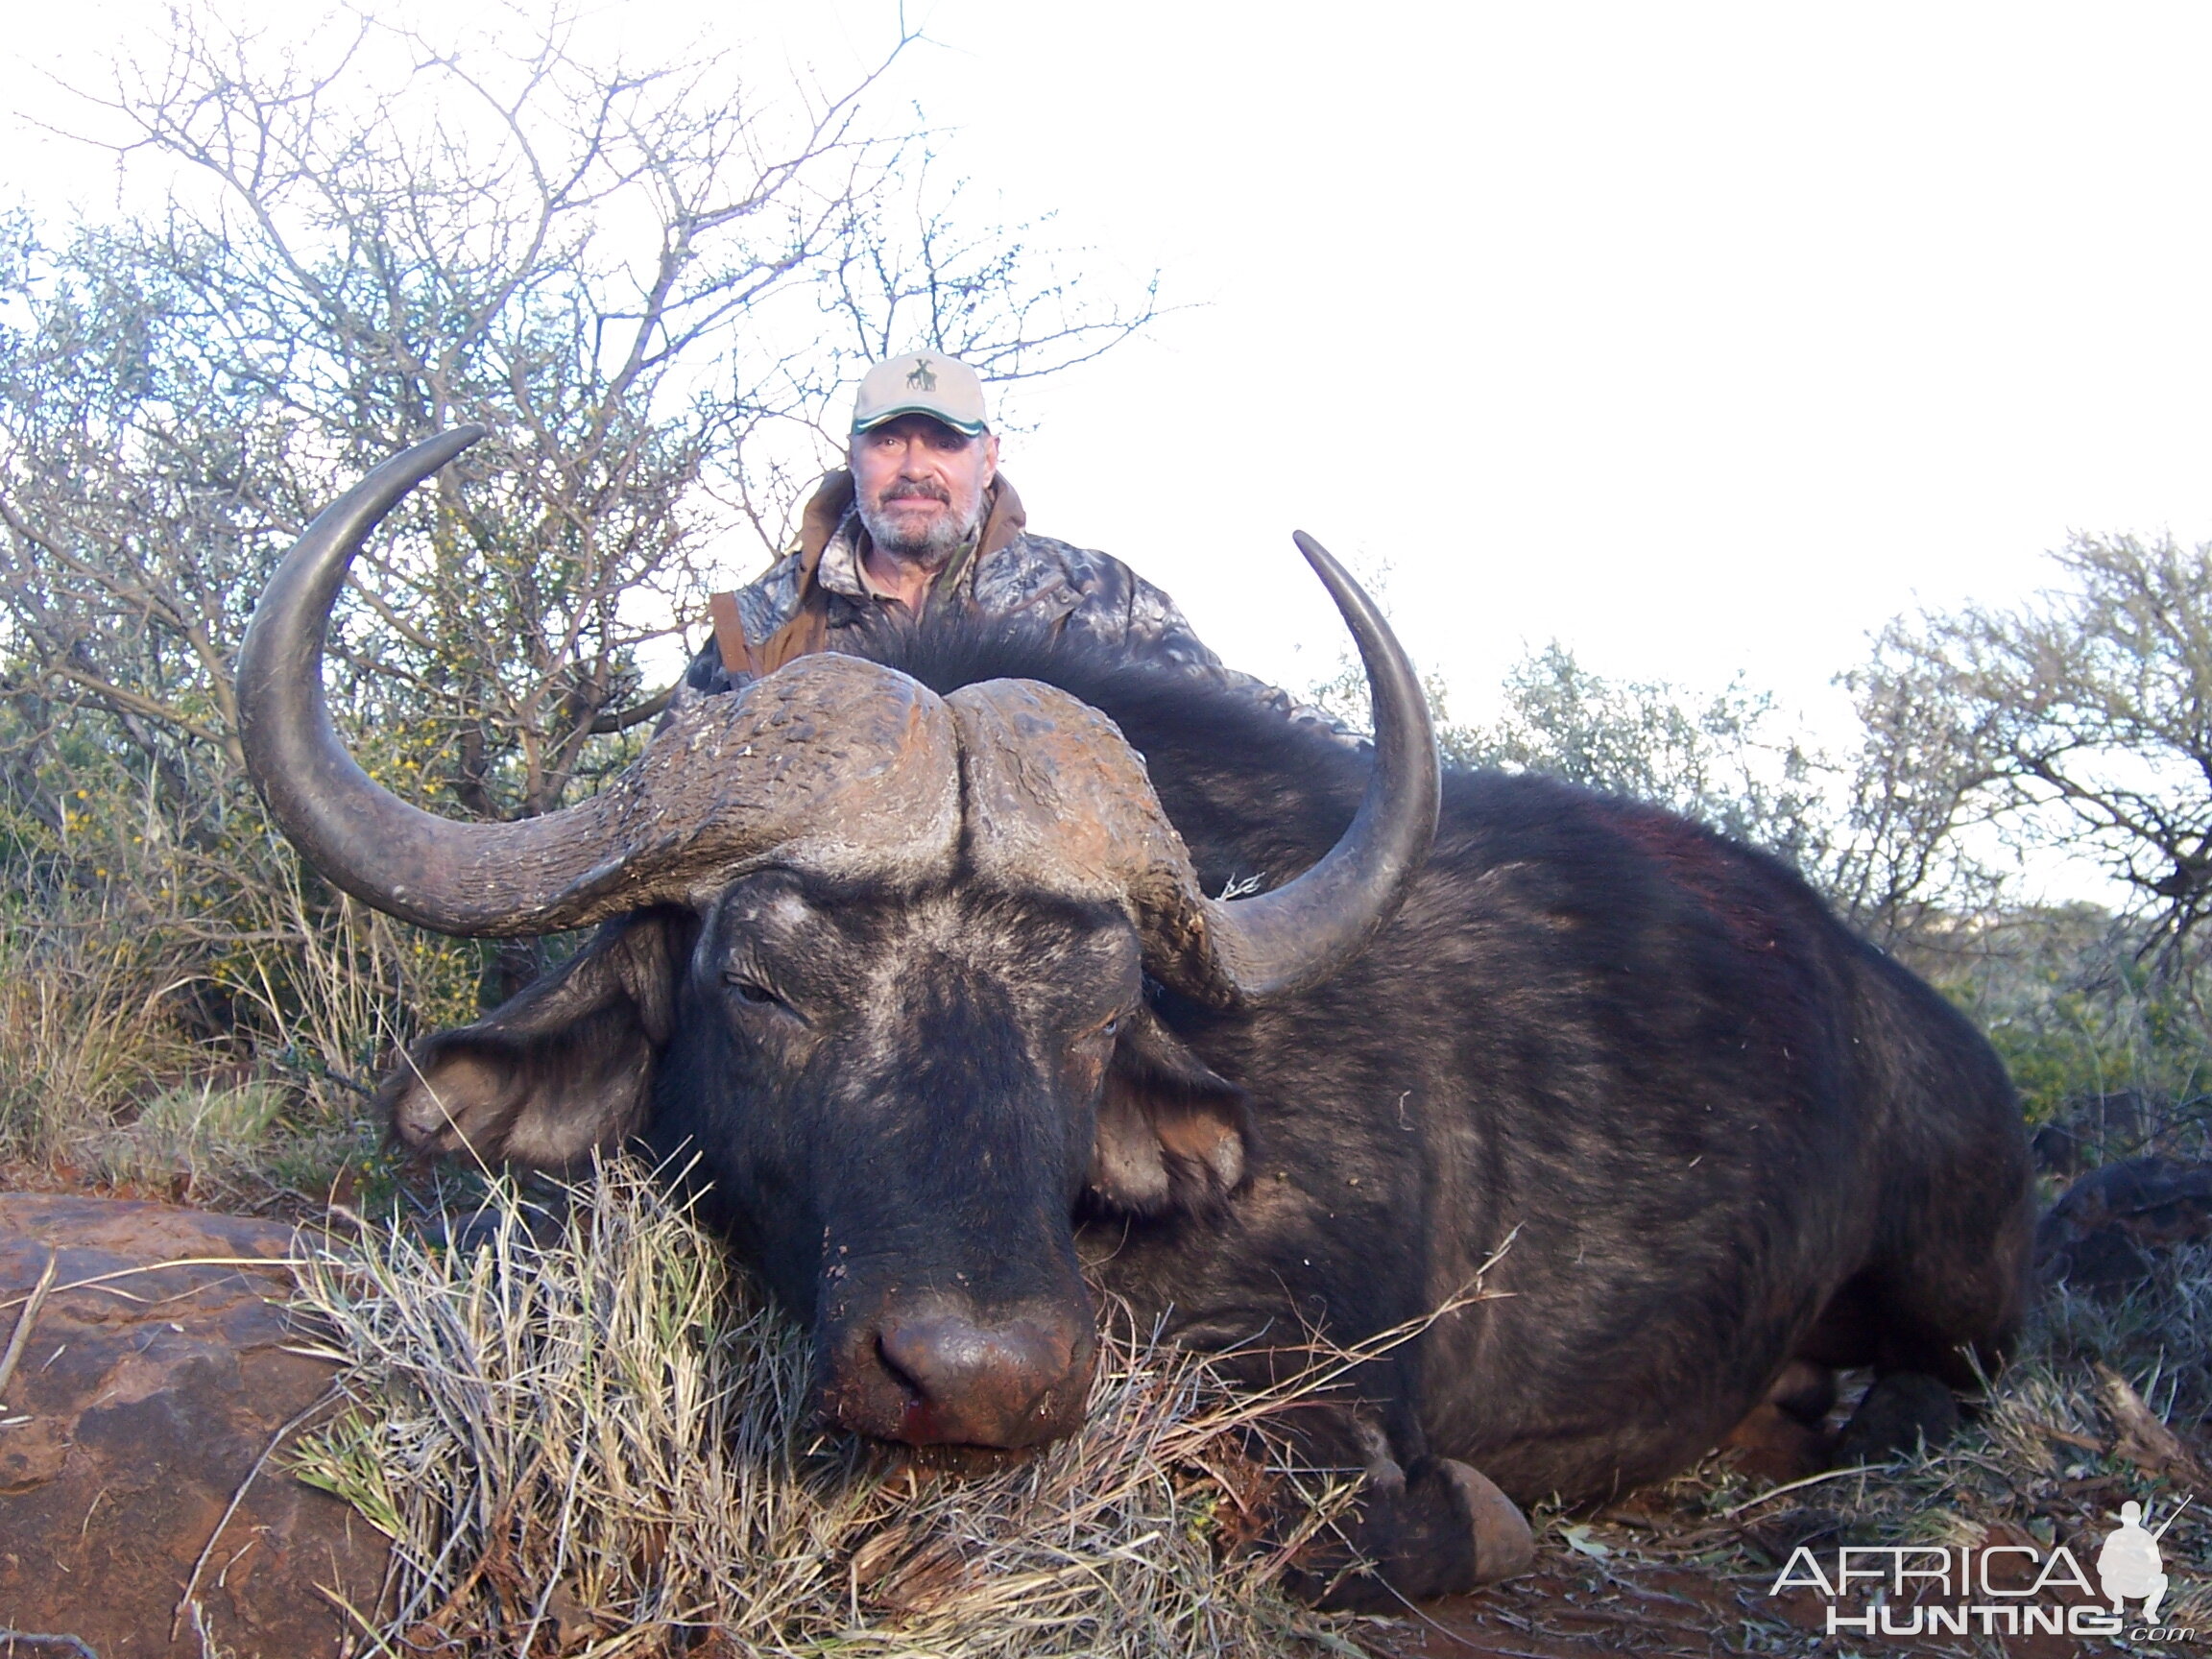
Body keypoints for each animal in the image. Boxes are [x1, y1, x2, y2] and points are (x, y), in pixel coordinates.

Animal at [242, 428, 2034, 1610]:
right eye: (755, 980)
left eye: (1102, 1007)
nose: (977, 1377)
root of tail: (1923, 1030)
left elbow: (1365, 1525)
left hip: (1959, 1293)